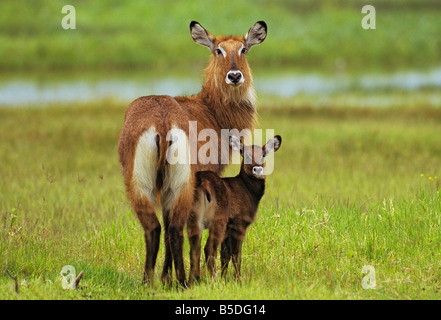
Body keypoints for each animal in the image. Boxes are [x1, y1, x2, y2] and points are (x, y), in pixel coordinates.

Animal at [187, 136, 280, 282]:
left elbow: (225, 255)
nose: (258, 169)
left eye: (263, 154)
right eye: (246, 154)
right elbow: (236, 255)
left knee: (194, 249)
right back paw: (213, 281)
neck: (248, 190)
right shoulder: (239, 224)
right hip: (218, 220)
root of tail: (203, 181)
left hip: (193, 219)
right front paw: (237, 280)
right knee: (209, 248)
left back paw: (192, 282)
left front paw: (225, 279)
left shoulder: (228, 229)